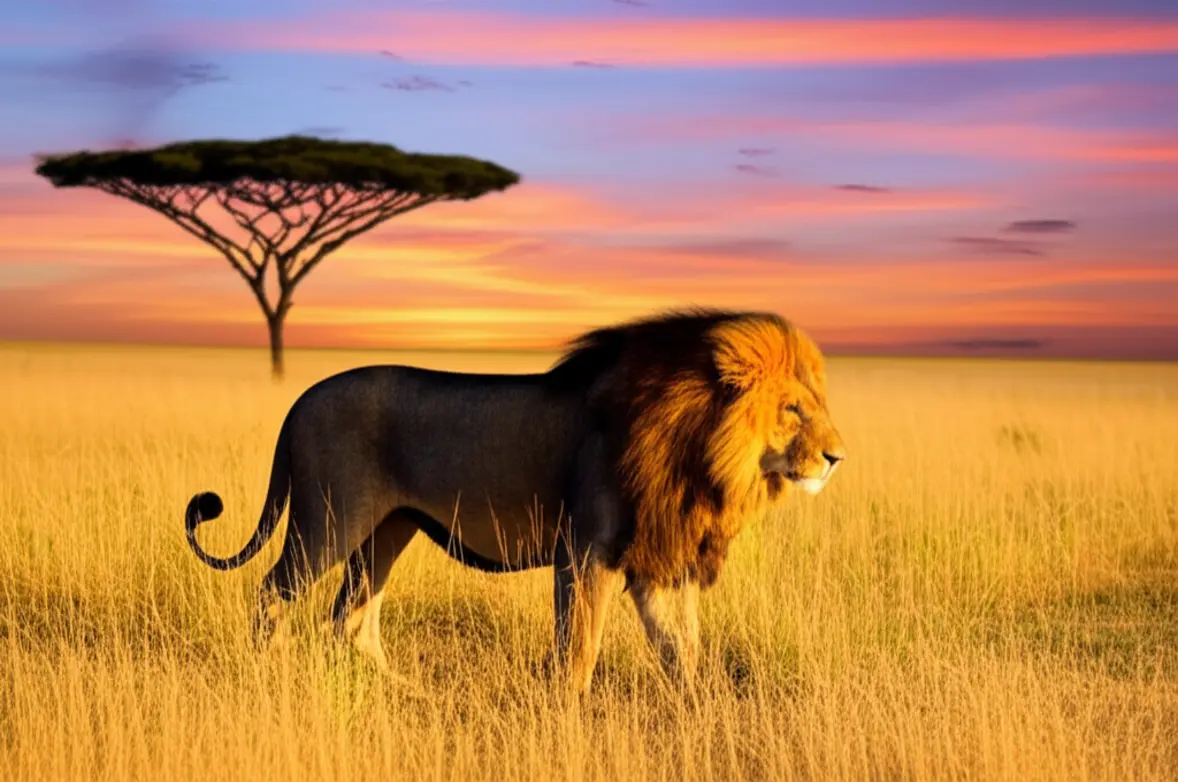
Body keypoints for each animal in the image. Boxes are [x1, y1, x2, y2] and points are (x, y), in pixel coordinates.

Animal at [184, 309, 847, 693]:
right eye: (794, 409)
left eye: (818, 404)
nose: (837, 457)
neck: (700, 453)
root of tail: (299, 400)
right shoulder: (586, 552)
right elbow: (579, 648)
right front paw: (566, 719)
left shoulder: (659, 561)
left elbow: (681, 650)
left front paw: (698, 715)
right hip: (327, 523)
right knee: (273, 593)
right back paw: (267, 671)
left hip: (388, 531)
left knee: (350, 619)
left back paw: (410, 692)